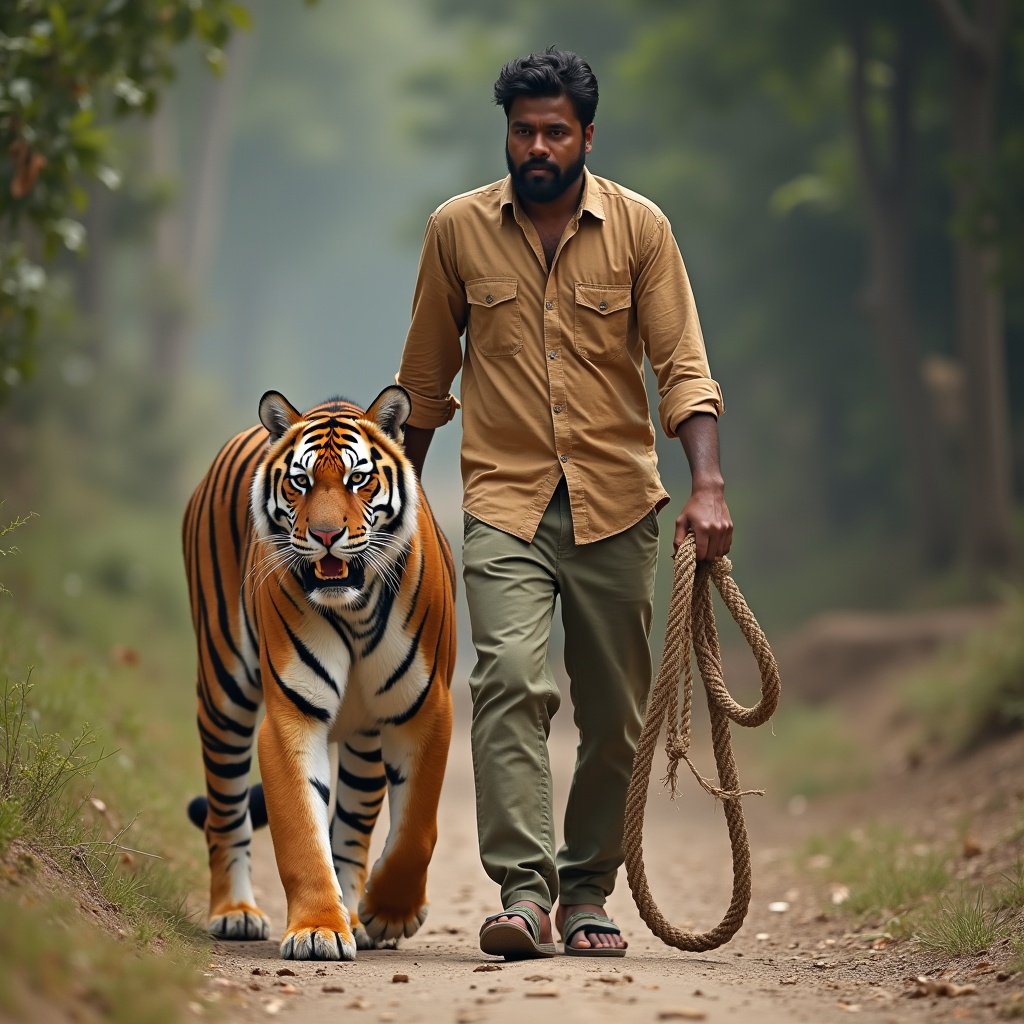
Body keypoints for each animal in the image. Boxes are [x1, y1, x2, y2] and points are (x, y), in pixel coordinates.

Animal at [183, 385, 456, 958]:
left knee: (352, 830)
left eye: (357, 479)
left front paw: (389, 913)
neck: (353, 609)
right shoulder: (292, 716)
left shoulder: (425, 709)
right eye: (301, 481)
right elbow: (302, 835)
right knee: (225, 813)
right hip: (223, 693)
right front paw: (317, 930)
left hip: (367, 741)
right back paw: (235, 912)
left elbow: (416, 828)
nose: (327, 535)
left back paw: (356, 915)